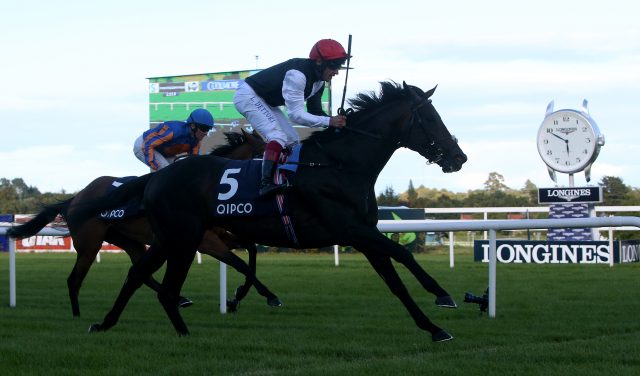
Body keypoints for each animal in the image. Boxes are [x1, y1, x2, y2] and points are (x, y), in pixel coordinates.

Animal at [6, 131, 278, 316]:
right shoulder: (206, 241)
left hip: (127, 240)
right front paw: (267, 296)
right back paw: (77, 316)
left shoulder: (224, 236)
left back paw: (180, 299)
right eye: (263, 154)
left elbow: (251, 253)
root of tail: (76, 199)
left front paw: (237, 297)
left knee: (140, 272)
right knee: (74, 280)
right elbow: (240, 263)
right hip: (90, 244)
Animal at [75, 81, 468, 342]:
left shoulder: (363, 234)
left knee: (137, 275)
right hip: (183, 239)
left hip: (168, 238)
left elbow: (395, 282)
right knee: (164, 288)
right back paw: (183, 335)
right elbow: (404, 253)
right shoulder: (352, 229)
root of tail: (155, 177)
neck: (339, 165)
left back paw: (105, 323)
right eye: (430, 118)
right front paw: (442, 294)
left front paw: (433, 328)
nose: (459, 157)